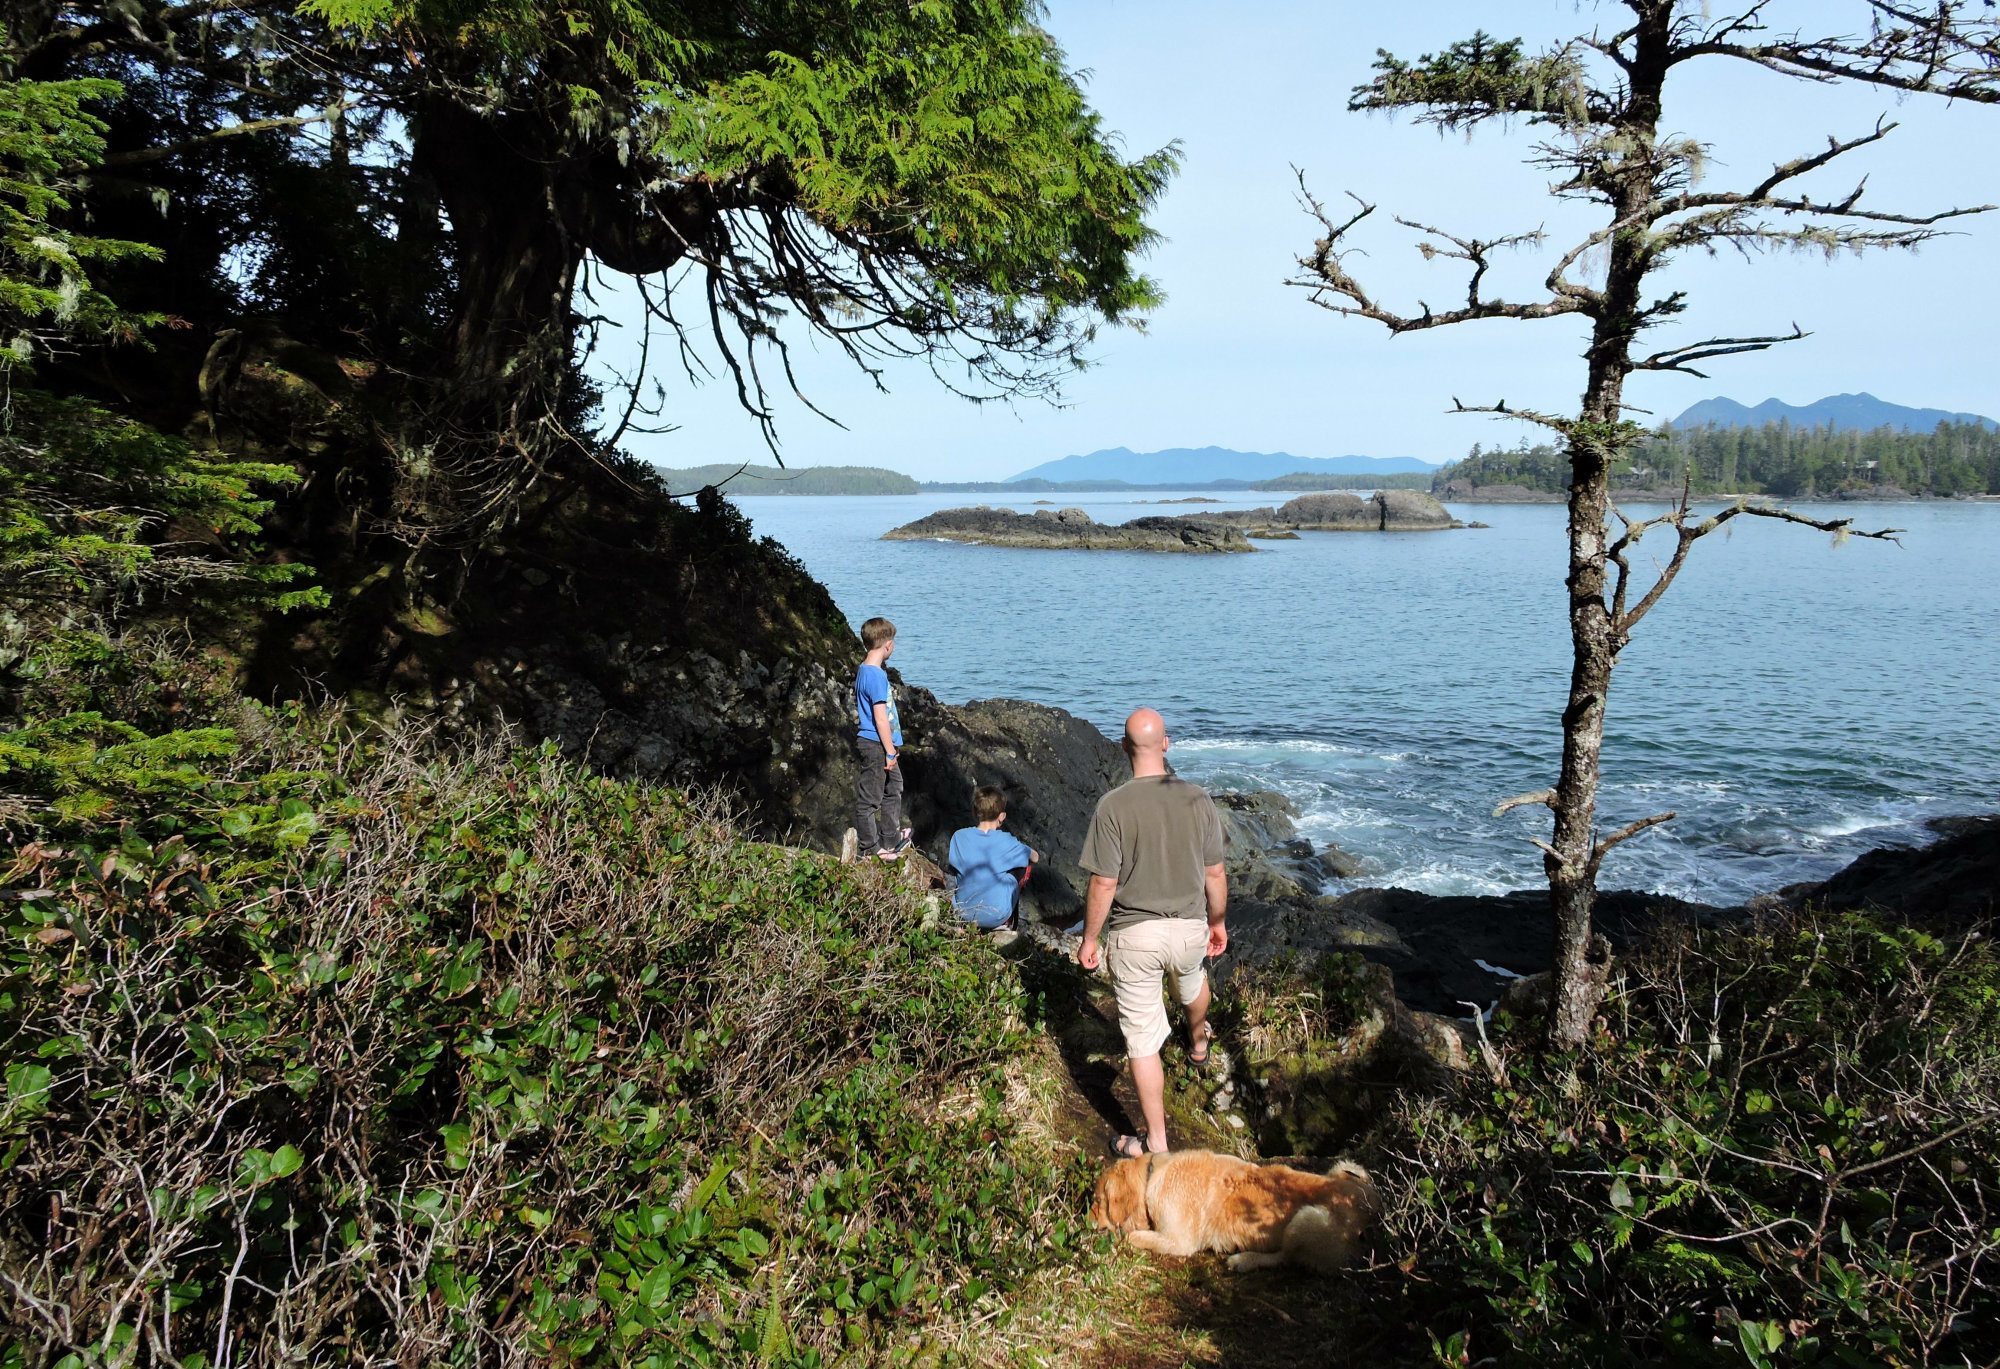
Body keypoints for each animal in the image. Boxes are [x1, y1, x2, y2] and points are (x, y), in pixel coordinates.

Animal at [1096, 1144, 1376, 1272]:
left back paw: (1243, 1260)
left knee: (1284, 1257)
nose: (1089, 1224)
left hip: (1305, 1217)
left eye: (1098, 1202)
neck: (1152, 1174)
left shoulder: (1180, 1242)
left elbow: (1131, 1235)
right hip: (1347, 1168)